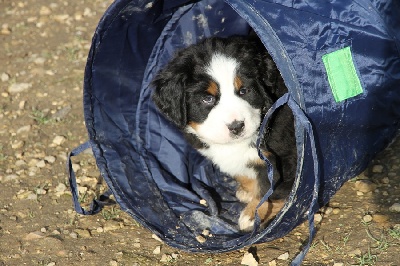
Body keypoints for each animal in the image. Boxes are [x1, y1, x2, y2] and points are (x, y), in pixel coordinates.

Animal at [152, 35, 296, 231]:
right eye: (207, 98)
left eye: (244, 91)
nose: (236, 126)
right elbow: (239, 171)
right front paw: (247, 190)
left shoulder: (286, 155)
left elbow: (270, 188)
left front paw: (253, 214)